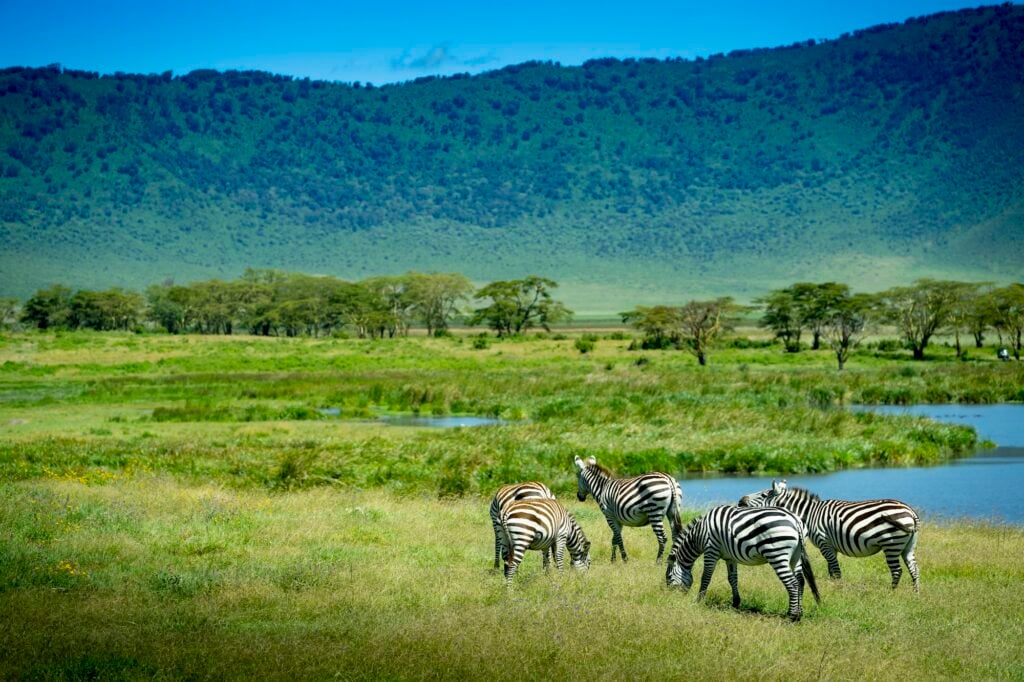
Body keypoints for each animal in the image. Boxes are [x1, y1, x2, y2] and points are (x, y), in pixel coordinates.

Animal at [665, 505, 821, 622]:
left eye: (668, 578)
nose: (670, 598)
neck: (699, 534)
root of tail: (795, 520)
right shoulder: (730, 558)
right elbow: (732, 579)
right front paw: (735, 602)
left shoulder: (711, 550)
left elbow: (706, 577)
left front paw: (699, 600)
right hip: (796, 556)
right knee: (800, 581)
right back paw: (799, 613)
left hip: (777, 553)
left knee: (792, 583)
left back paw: (793, 617)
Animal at [738, 480, 920, 591]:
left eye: (763, 495)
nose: (740, 500)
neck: (809, 514)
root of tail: (910, 512)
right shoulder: (831, 546)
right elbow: (831, 570)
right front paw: (834, 586)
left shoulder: (824, 542)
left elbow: (836, 570)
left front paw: (838, 589)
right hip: (907, 546)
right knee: (914, 569)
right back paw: (915, 594)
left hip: (891, 544)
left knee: (897, 571)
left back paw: (892, 592)